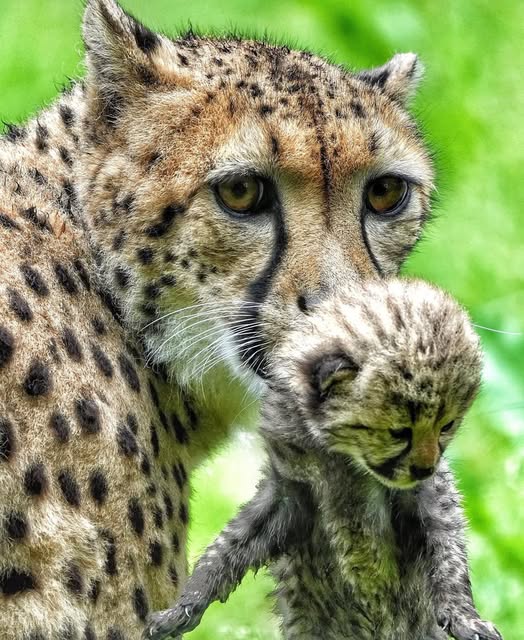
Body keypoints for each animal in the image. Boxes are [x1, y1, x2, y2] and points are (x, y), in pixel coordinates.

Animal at [147, 278, 502, 640]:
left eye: (447, 426)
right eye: (399, 432)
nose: (424, 468)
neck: (342, 457)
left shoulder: (428, 496)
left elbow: (448, 551)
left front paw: (464, 615)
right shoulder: (289, 489)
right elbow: (228, 547)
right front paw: (186, 603)